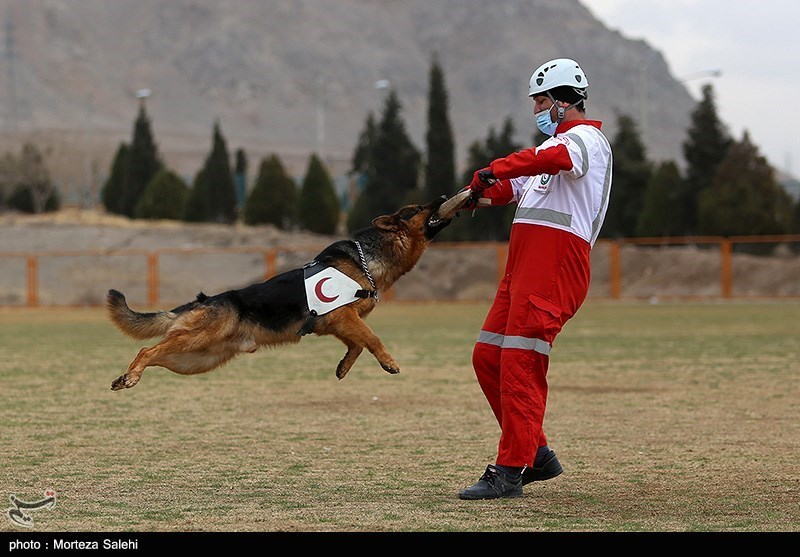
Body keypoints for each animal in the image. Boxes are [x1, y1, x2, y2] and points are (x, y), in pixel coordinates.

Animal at [106, 192, 468, 390]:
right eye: (416, 208)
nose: (442, 198)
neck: (369, 258)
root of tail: (205, 300)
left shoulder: (338, 322)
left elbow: (357, 345)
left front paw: (344, 366)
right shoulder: (344, 316)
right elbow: (373, 338)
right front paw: (389, 361)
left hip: (195, 359)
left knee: (156, 354)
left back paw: (125, 377)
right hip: (197, 341)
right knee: (147, 350)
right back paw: (132, 374)